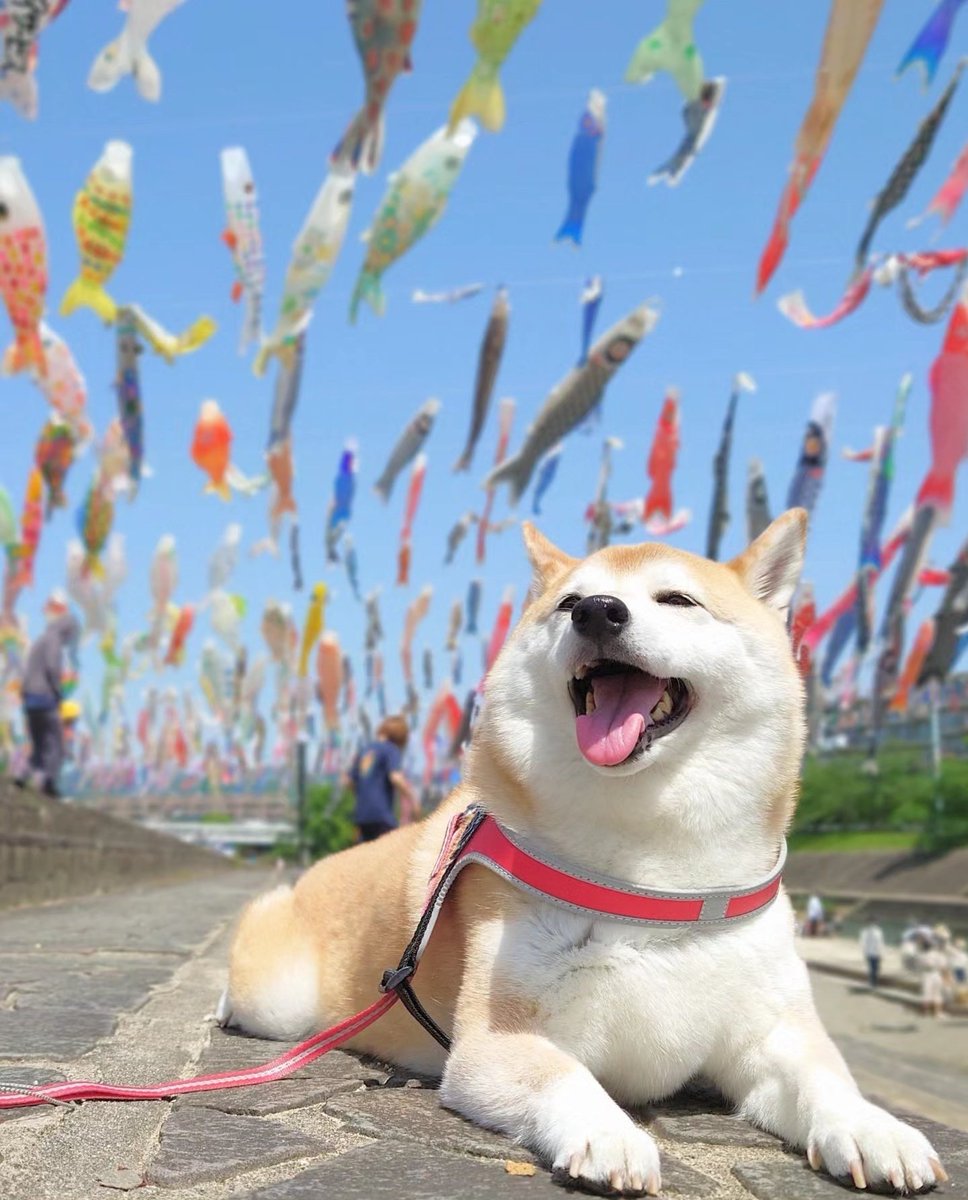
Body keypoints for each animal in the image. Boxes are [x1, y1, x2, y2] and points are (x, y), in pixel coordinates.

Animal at [221, 511, 945, 1195]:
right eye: (570, 602)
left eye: (677, 599)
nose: (599, 611)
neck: (657, 882)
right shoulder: (494, 1043)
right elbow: (568, 1076)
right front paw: (612, 1134)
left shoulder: (772, 1033)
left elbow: (829, 1080)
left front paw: (875, 1128)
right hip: (281, 1000)